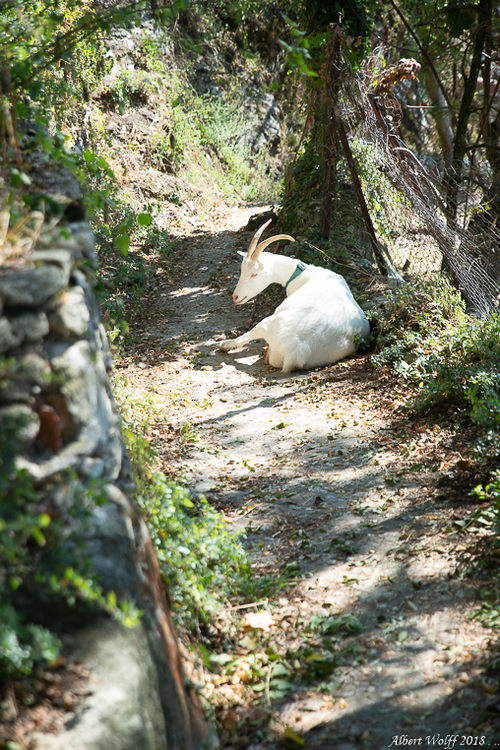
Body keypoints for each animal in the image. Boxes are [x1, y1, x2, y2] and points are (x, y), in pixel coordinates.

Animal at [220, 219, 372, 374]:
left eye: (254, 274)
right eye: (242, 270)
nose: (236, 297)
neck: (302, 274)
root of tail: (295, 353)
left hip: (268, 323)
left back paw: (224, 344)